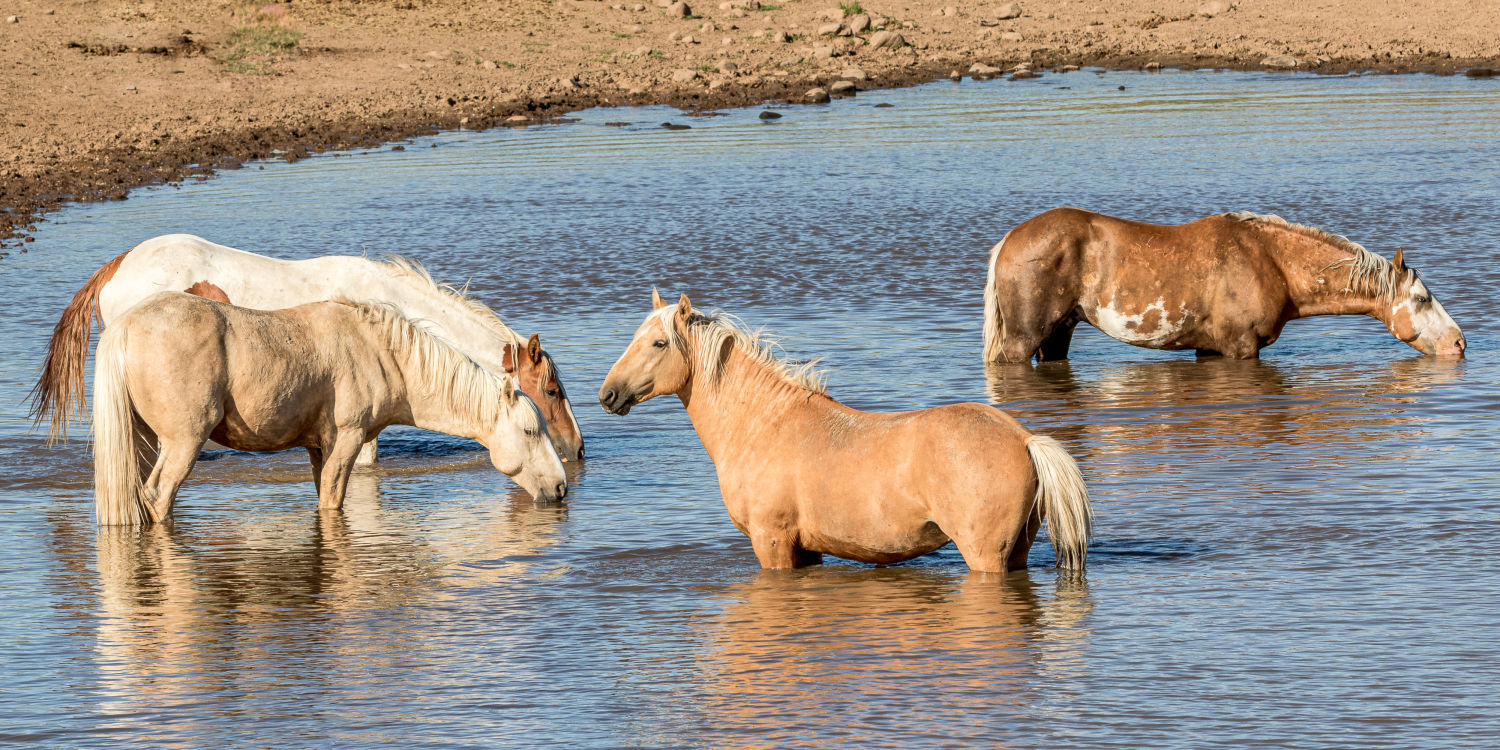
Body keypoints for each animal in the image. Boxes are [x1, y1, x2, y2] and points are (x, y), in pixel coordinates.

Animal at [92, 289, 567, 525]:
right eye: (530, 431)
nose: (562, 488)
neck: (382, 350)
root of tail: (125, 326)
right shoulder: (347, 441)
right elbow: (332, 503)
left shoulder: (317, 448)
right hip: (183, 443)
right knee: (158, 497)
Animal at [594, 289, 1092, 570]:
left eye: (659, 342)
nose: (608, 394)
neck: (762, 424)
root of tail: (1024, 439)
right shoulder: (805, 547)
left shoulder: (771, 542)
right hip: (1017, 551)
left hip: (984, 555)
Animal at [984, 208, 1464, 363]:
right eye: (1422, 298)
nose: (1460, 343)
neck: (1270, 261)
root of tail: (1010, 239)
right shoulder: (1240, 348)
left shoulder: (1210, 349)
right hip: (1023, 341)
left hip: (1057, 336)